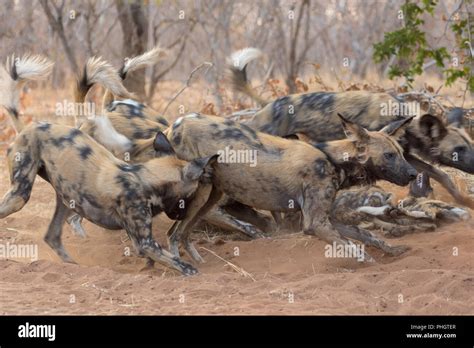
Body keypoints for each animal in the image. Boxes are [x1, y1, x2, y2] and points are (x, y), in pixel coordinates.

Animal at [229, 47, 474, 208]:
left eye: (469, 145)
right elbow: (436, 173)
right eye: (459, 150)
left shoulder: (404, 156)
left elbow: (439, 175)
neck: (402, 114)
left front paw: (461, 200)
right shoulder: (394, 155)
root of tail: (270, 105)